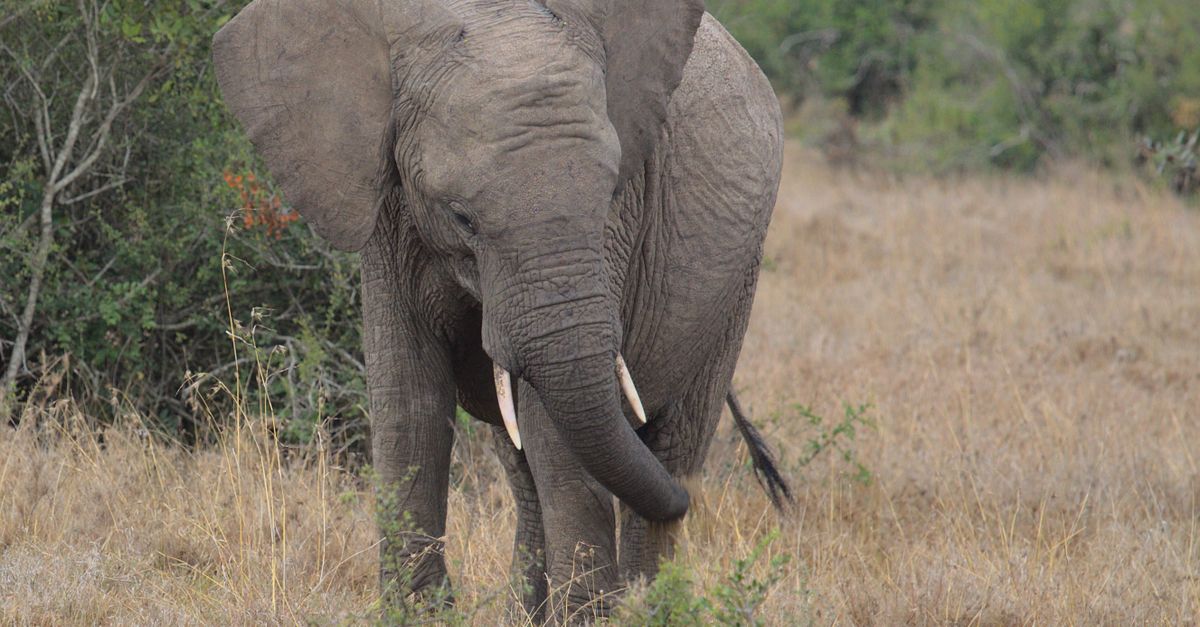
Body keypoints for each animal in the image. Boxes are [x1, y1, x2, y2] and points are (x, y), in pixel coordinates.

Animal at [213, 0, 788, 620]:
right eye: (461, 217)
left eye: (610, 190)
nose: (690, 502)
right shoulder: (389, 200)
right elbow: (408, 395)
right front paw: (421, 614)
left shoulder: (616, 225)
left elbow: (552, 423)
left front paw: (589, 617)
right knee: (527, 465)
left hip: (738, 281)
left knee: (673, 441)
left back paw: (646, 599)